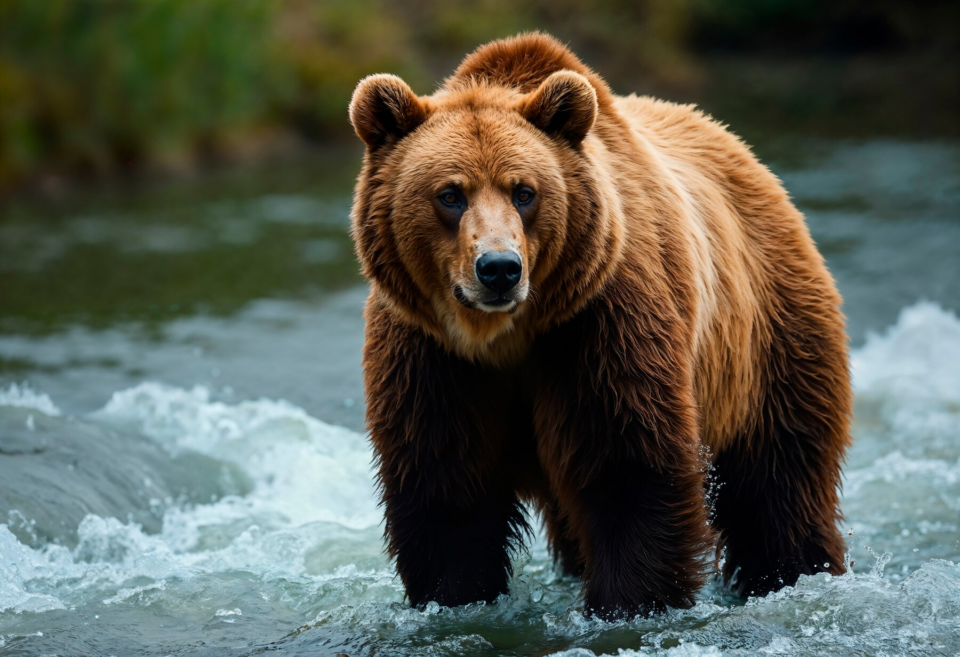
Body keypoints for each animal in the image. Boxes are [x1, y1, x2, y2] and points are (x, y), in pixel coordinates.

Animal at [348, 32, 852, 620]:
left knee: (780, 478)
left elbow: (626, 470)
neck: (505, 339)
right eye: (450, 194)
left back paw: (796, 571)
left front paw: (629, 603)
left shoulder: (600, 324)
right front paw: (456, 596)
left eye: (524, 191)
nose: (498, 268)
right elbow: (445, 487)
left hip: (767, 337)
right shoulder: (431, 356)